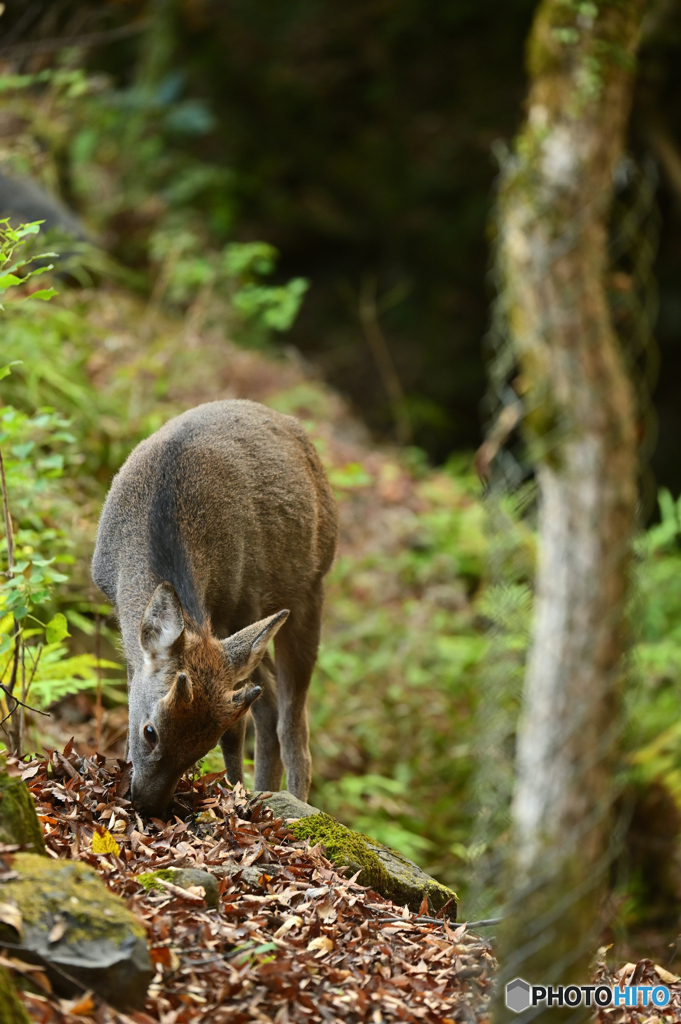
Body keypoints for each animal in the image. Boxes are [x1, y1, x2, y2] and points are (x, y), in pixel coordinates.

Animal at [92, 395, 337, 819]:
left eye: (202, 746)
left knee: (291, 718)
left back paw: (291, 799)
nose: (148, 805)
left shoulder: (242, 604)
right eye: (150, 731)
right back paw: (265, 790)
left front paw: (234, 793)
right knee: (269, 701)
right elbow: (131, 693)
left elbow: (238, 730)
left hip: (310, 588)